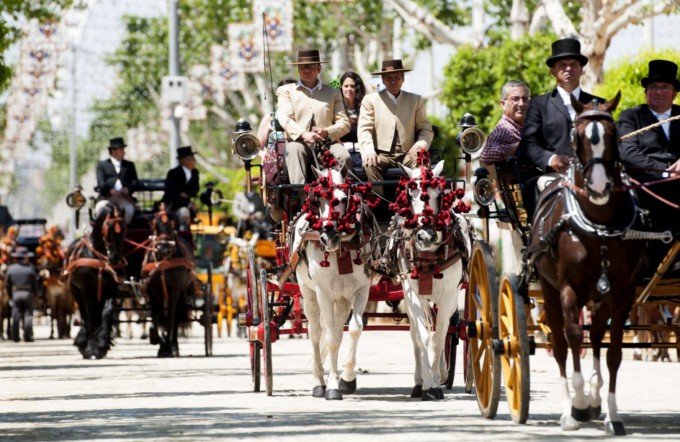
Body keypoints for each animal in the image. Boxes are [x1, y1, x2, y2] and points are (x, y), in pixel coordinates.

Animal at [290, 160, 380, 400]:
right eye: (316, 200)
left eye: (340, 199)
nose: (327, 236)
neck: (342, 247)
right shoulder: (323, 292)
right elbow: (328, 338)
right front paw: (331, 386)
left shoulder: (362, 289)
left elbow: (354, 329)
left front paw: (347, 379)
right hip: (308, 293)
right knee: (315, 332)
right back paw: (319, 382)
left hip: (342, 299)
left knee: (338, 331)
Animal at [390, 158, 470, 400]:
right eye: (410, 194)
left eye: (439, 193)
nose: (425, 236)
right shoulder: (412, 294)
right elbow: (423, 337)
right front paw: (427, 384)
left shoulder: (450, 295)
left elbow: (439, 336)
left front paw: (436, 381)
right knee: (415, 335)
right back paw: (419, 381)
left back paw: (441, 373)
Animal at [528, 93, 644, 436]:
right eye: (577, 137)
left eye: (615, 135)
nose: (599, 186)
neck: (598, 227)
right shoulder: (568, 288)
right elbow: (572, 337)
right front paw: (577, 404)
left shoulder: (623, 292)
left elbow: (614, 352)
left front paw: (612, 414)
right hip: (549, 290)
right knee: (561, 344)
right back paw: (571, 409)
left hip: (598, 296)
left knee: (595, 336)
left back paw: (594, 397)